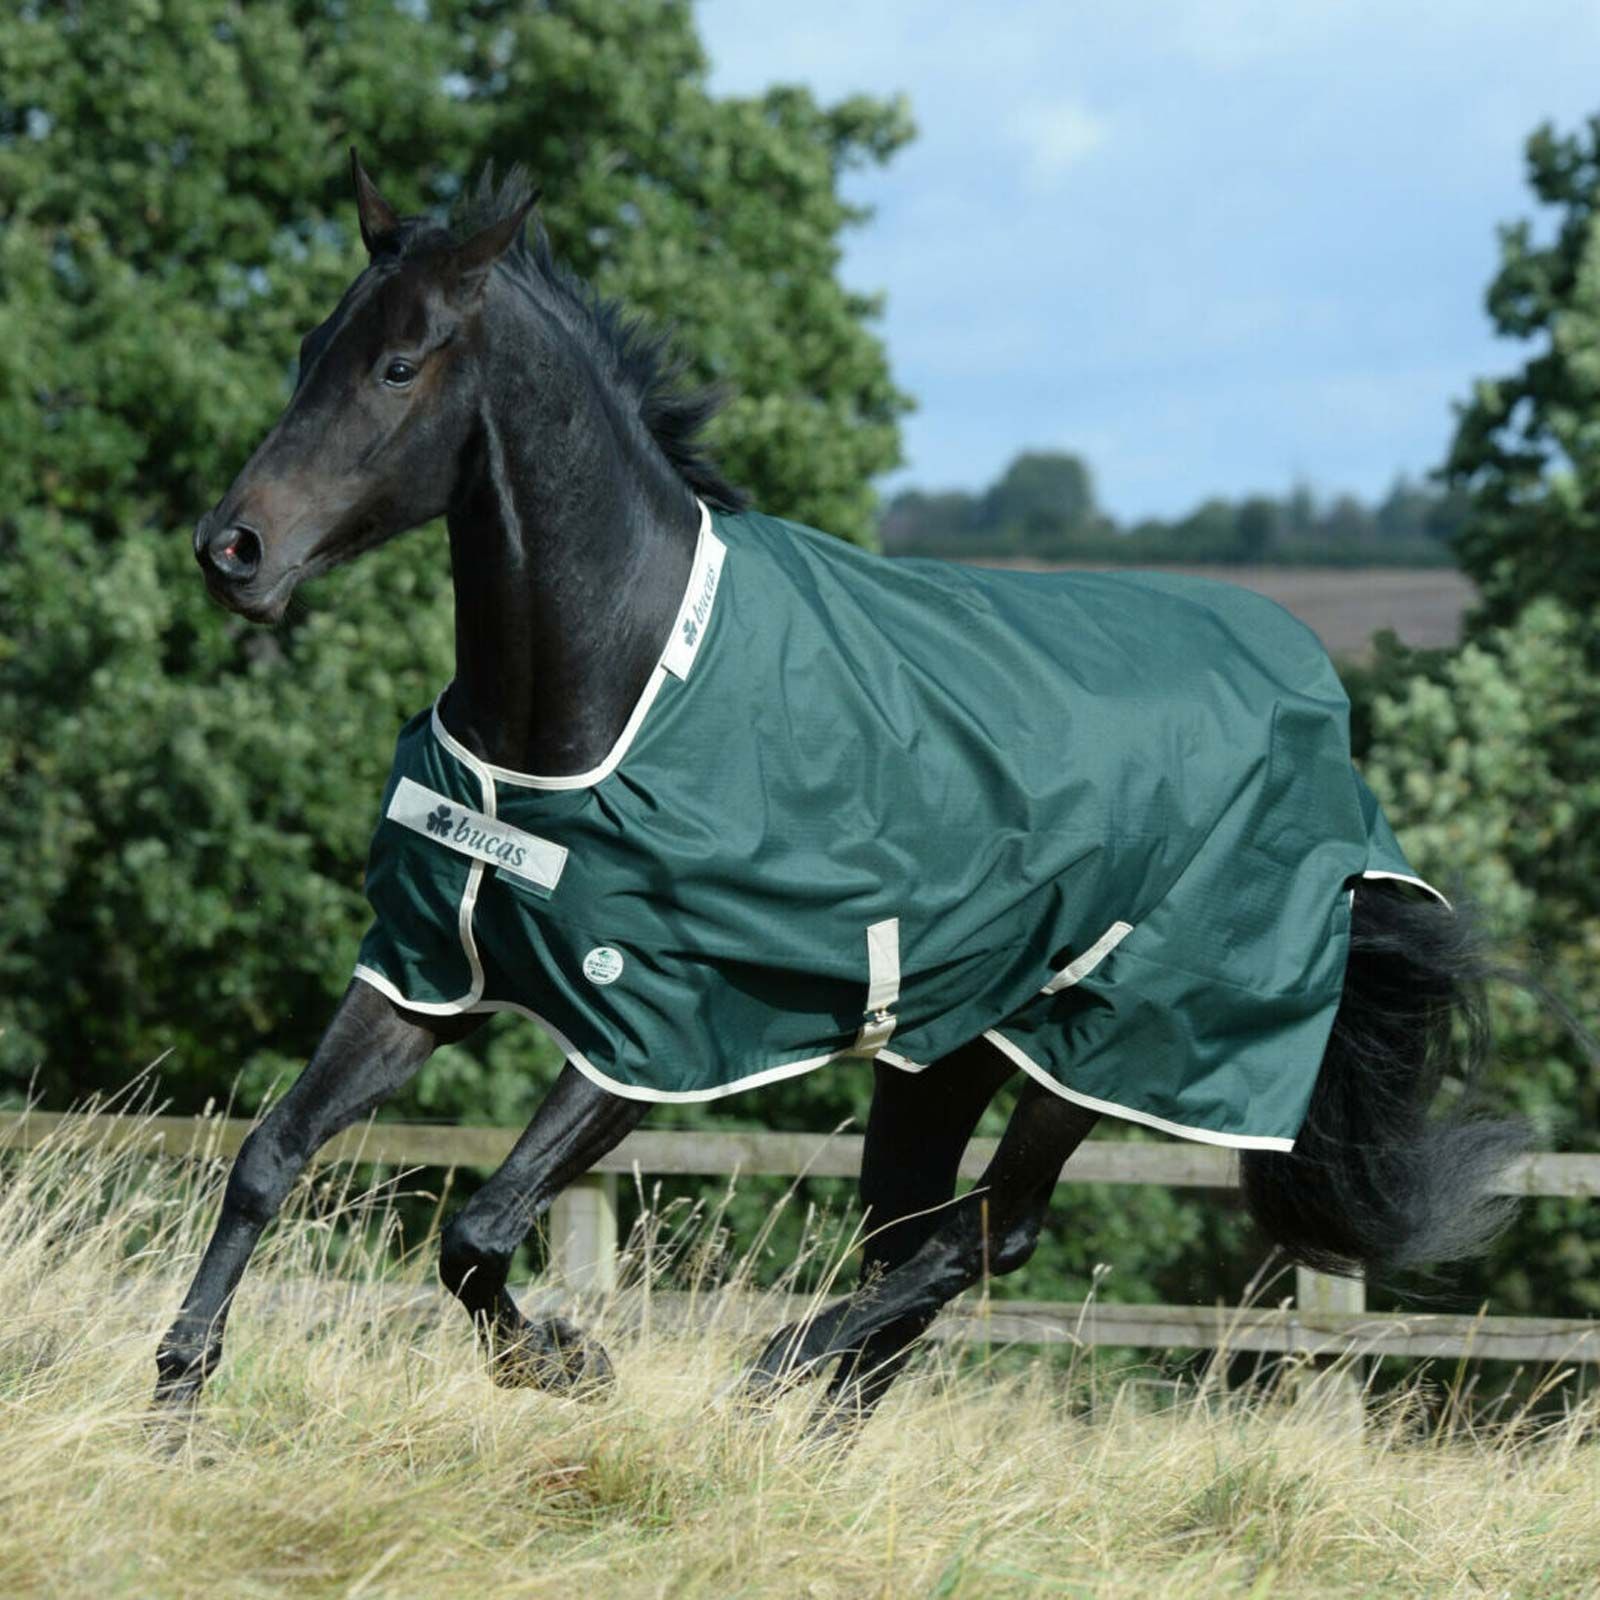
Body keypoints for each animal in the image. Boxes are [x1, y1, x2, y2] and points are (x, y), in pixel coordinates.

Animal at [156, 154, 1526, 1429]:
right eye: (309, 351)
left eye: (400, 365)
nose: (233, 552)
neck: (600, 698)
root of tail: (1324, 727)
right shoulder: (425, 970)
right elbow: (270, 1155)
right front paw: (178, 1391)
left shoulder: (654, 1033)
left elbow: (477, 1230)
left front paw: (565, 1360)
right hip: (943, 1052)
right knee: (918, 1237)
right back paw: (820, 1417)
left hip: (1101, 1044)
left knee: (986, 1230)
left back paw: (773, 1375)